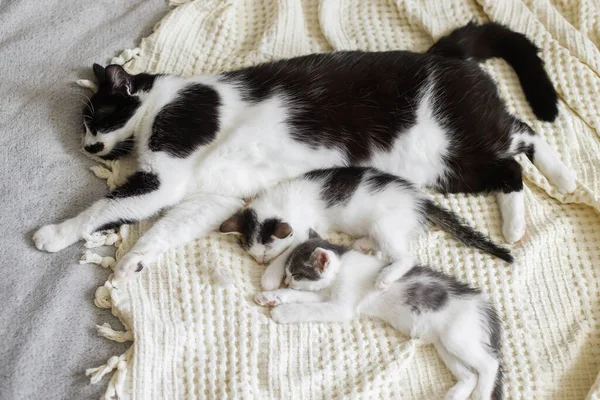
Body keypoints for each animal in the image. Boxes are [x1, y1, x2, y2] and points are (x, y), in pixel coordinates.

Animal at [219, 166, 510, 290]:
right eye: (250, 253)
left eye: (266, 252)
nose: (259, 262)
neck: (279, 203)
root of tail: (420, 201)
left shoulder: (302, 230)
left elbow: (288, 251)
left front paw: (270, 275)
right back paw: (364, 243)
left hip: (385, 222)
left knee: (405, 256)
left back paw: (387, 276)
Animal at [255, 231, 504, 400]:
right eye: (286, 272)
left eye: (296, 274)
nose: (287, 281)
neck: (341, 267)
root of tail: (483, 304)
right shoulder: (323, 294)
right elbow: (304, 298)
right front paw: (272, 297)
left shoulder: (340, 307)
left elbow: (309, 309)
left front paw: (283, 312)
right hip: (443, 343)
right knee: (469, 374)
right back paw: (455, 394)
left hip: (457, 336)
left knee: (489, 364)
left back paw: (481, 394)